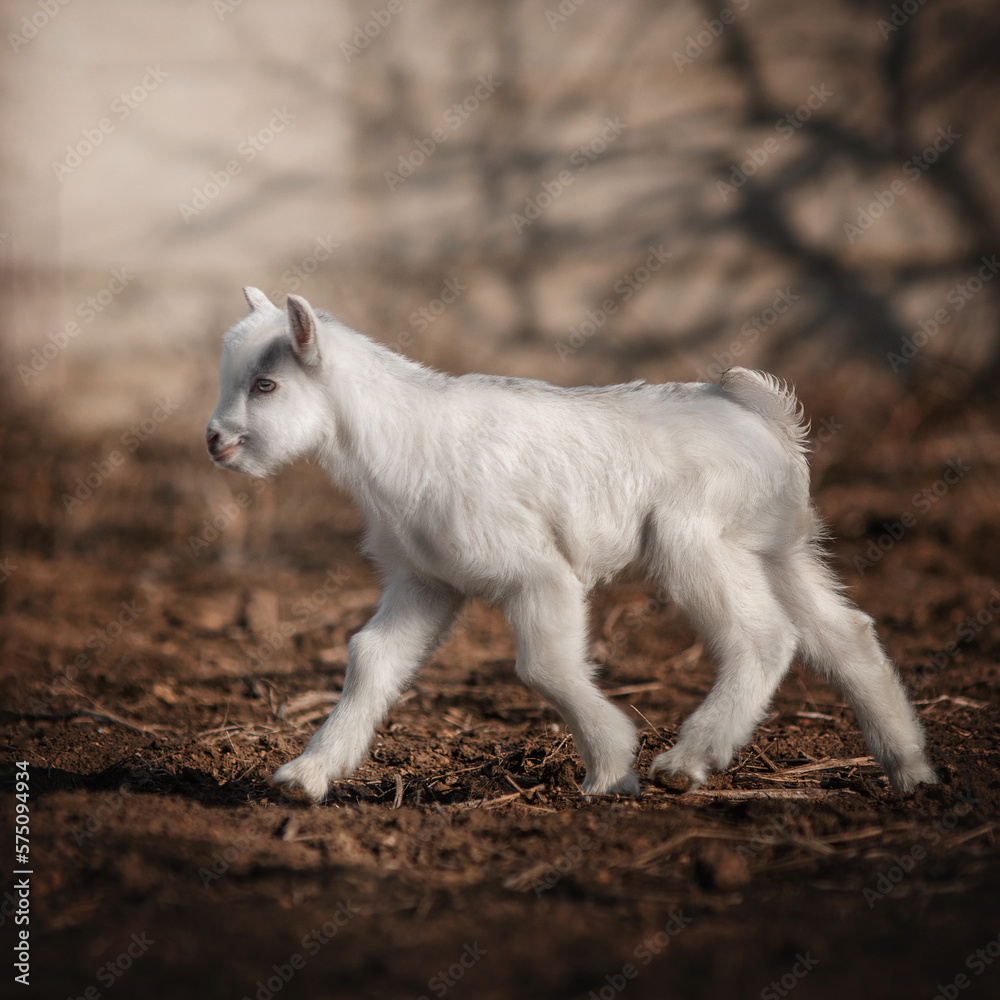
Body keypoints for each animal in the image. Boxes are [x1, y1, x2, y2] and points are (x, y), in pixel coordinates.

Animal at [207, 286, 940, 800]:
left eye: (266, 384)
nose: (215, 442)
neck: (400, 439)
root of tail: (763, 416)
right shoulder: (426, 581)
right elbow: (371, 657)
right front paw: (306, 776)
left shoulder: (538, 573)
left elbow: (543, 666)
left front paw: (612, 769)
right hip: (780, 547)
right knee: (846, 634)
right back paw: (911, 771)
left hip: (695, 539)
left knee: (764, 638)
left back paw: (686, 762)